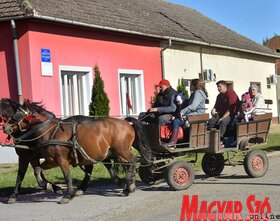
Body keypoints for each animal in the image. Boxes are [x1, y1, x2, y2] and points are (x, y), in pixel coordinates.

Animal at [3, 100, 139, 204]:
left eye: (17, 115)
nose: (5, 127)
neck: (51, 132)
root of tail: (127, 123)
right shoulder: (50, 160)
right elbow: (37, 170)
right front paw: (50, 186)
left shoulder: (60, 160)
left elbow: (67, 176)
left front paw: (68, 195)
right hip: (107, 152)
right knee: (119, 165)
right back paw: (128, 185)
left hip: (121, 150)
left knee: (132, 160)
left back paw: (127, 186)